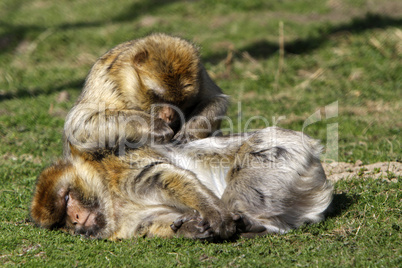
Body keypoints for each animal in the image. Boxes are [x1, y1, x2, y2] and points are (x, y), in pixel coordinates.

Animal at [30, 127, 332, 241]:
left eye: (67, 198)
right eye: (62, 221)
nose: (76, 219)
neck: (115, 204)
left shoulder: (121, 168)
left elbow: (163, 176)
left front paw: (215, 215)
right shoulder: (129, 222)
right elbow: (151, 224)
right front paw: (189, 229)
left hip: (281, 155)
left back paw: (248, 221)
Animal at [64, 33, 228, 155]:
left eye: (180, 102)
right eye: (159, 97)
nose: (169, 115)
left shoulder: (201, 73)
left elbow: (216, 99)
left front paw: (189, 130)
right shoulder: (106, 84)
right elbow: (80, 125)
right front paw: (154, 126)